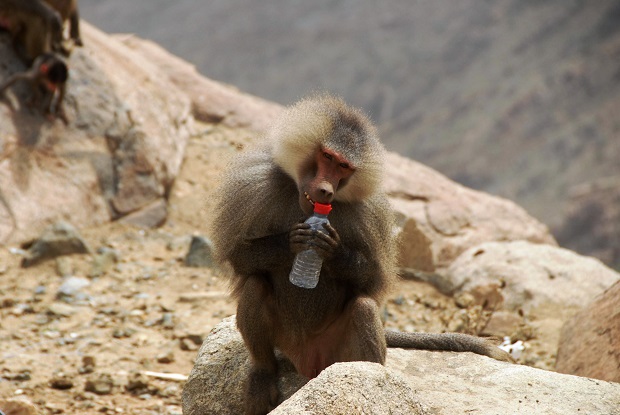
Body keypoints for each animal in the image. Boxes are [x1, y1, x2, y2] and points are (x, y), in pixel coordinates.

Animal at [211, 94, 512, 415]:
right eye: (327, 157)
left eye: (344, 167)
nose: (326, 191)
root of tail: (307, 362)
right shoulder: (253, 185)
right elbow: (239, 255)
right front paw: (294, 240)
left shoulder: (370, 215)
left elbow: (372, 281)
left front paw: (332, 250)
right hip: (284, 340)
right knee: (255, 287)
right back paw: (263, 373)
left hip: (335, 350)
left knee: (364, 308)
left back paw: (368, 376)